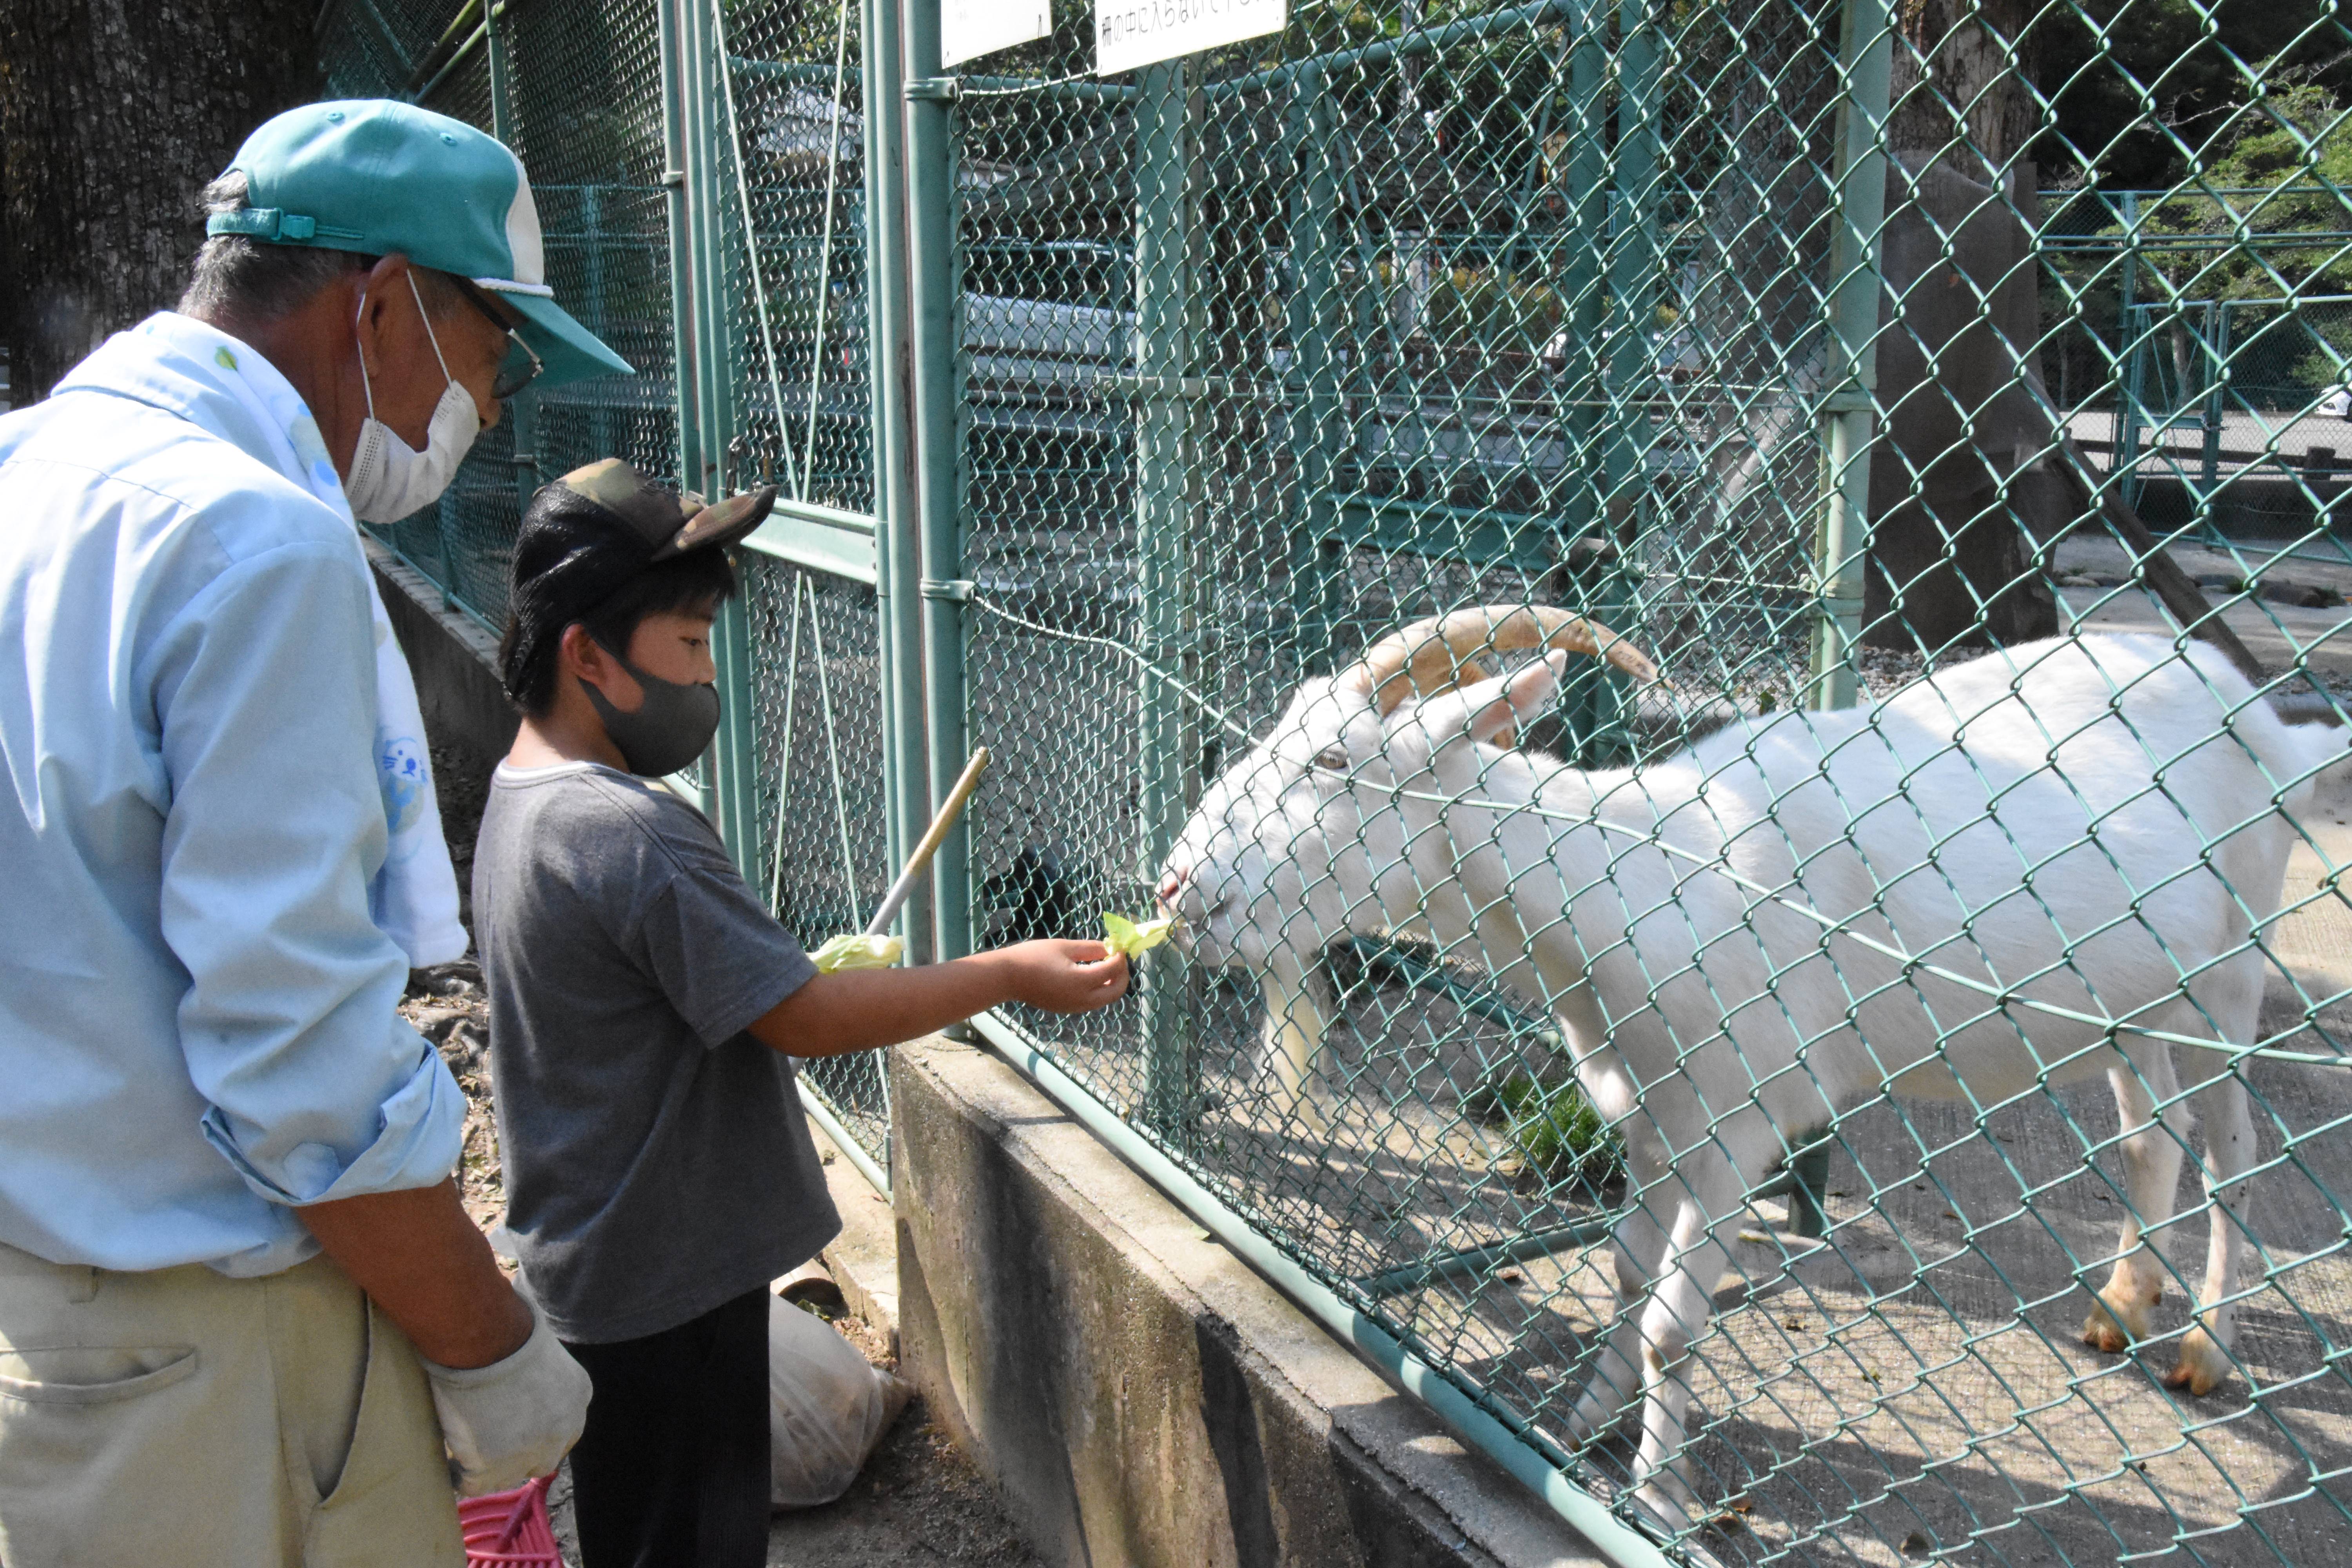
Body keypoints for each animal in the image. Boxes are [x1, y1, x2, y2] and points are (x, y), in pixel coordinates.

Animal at [1157, 606, 2333, 1523]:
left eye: (1333, 763)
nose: (1177, 890)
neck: (1646, 876)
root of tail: (2271, 723)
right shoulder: (1647, 1114)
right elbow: (1626, 1281)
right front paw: (1573, 1428)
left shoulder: (1741, 1122)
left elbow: (1675, 1329)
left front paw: (1658, 1498)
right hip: (2135, 1007)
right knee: (2151, 1134)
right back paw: (2121, 1304)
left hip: (2230, 976)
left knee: (2233, 1144)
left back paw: (2207, 1349)